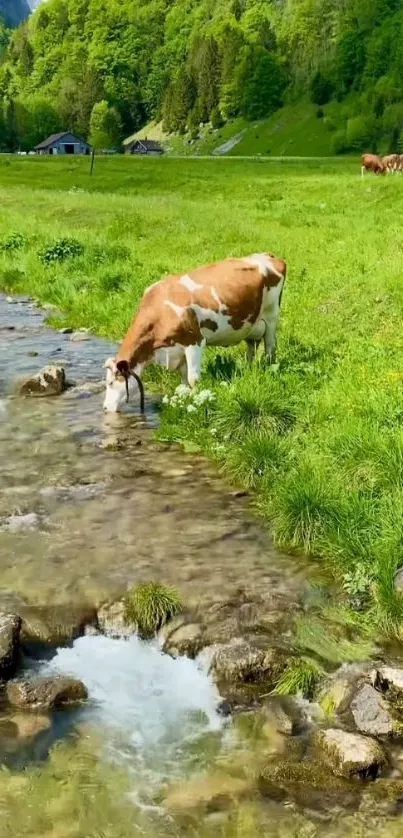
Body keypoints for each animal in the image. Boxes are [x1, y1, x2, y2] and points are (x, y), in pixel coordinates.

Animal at [104, 256, 288, 414]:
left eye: (111, 382)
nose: (105, 408)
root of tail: (269, 256)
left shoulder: (194, 341)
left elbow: (193, 378)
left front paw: (196, 404)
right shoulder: (177, 349)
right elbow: (184, 379)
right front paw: (184, 399)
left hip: (271, 316)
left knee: (270, 347)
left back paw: (269, 368)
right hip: (251, 325)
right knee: (252, 347)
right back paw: (249, 369)